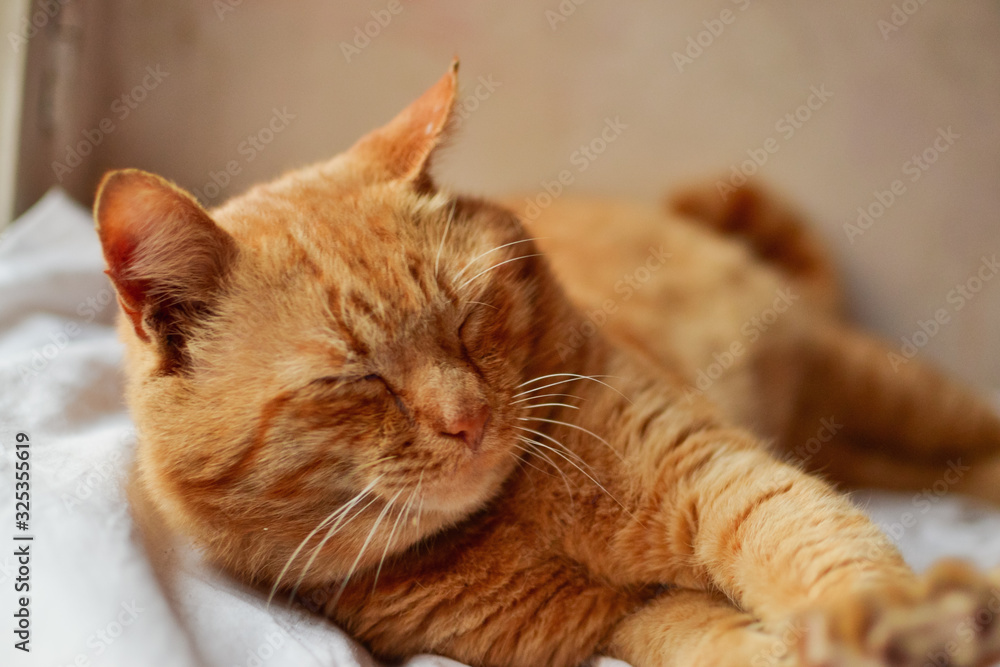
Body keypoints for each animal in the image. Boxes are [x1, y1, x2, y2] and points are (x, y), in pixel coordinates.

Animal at [94, 60, 1000, 664]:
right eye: (353, 377)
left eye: (467, 317)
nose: (467, 420)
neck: (515, 518)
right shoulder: (630, 615)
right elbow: (730, 642)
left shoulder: (723, 477)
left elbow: (818, 548)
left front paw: (895, 618)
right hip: (857, 438)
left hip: (879, 383)